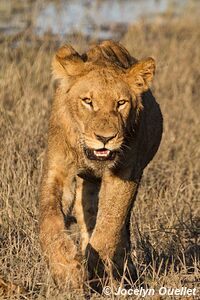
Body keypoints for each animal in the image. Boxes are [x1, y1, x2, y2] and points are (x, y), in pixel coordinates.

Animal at [39, 39, 162, 290]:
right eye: (88, 101)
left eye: (121, 103)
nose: (105, 138)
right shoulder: (57, 171)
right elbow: (49, 220)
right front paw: (67, 269)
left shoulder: (125, 174)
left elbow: (109, 225)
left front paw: (97, 271)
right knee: (87, 212)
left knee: (120, 227)